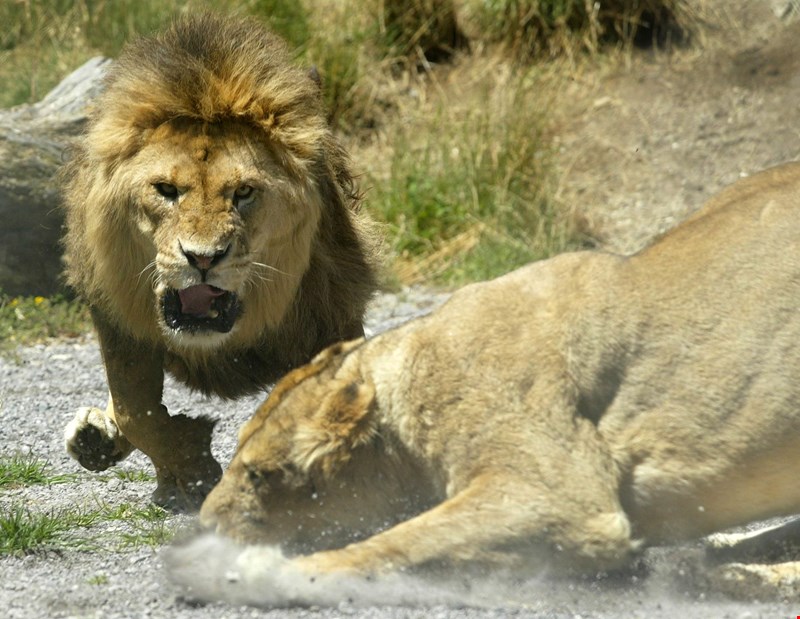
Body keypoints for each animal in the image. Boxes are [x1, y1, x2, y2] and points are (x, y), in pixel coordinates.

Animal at [60, 13, 380, 511]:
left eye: (243, 192)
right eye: (166, 190)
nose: (203, 258)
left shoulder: (332, 314)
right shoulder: (117, 317)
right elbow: (136, 411)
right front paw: (190, 472)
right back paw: (94, 437)